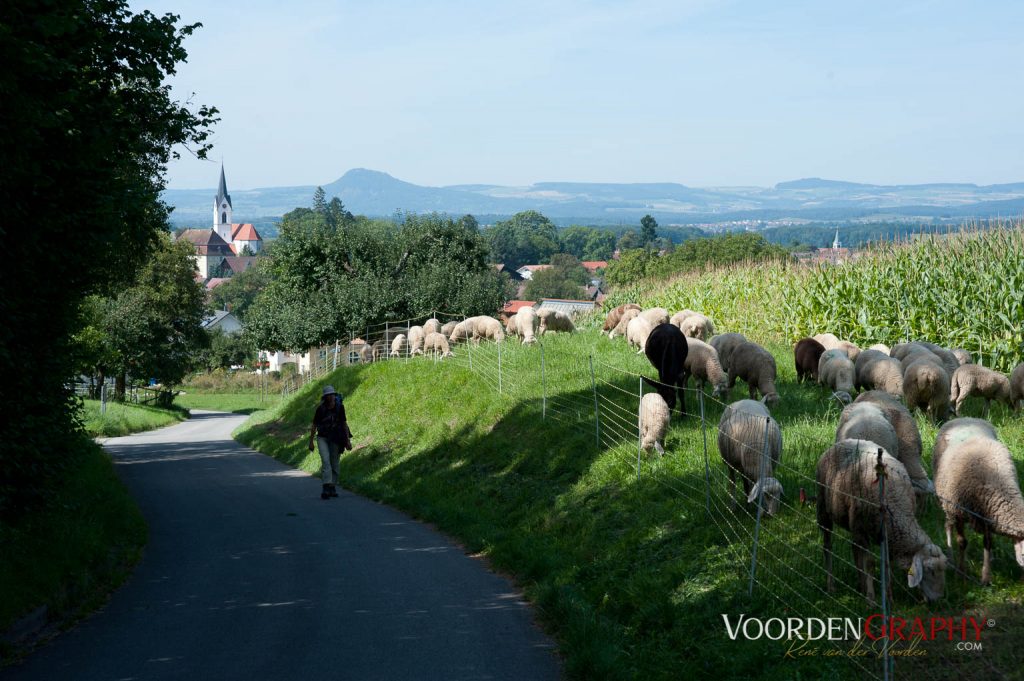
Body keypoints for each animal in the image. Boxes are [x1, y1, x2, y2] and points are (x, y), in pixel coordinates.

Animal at [811, 436, 946, 602]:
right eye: (930, 570)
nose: (938, 599)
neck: (896, 505)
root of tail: (842, 442)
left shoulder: (885, 534)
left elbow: (885, 563)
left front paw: (889, 597)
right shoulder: (863, 529)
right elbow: (869, 563)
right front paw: (871, 599)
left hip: (853, 524)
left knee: (855, 548)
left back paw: (860, 585)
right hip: (824, 509)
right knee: (828, 546)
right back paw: (831, 586)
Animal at [933, 419, 1024, 585]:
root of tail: (964, 418)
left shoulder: (987, 514)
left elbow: (988, 543)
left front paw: (986, 578)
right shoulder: (959, 511)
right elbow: (962, 541)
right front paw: (961, 574)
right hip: (946, 500)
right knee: (948, 525)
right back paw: (950, 557)